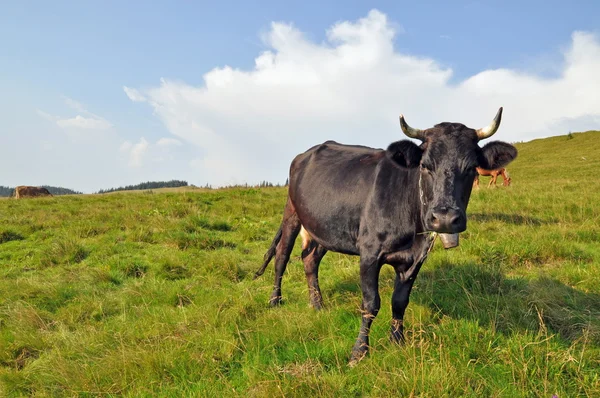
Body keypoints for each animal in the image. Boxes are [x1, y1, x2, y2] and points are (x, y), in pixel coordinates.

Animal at [253, 108, 516, 364]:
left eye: (471, 167)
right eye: (425, 166)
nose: (444, 218)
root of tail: (306, 153)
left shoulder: (415, 259)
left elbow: (399, 302)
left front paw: (398, 341)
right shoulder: (369, 254)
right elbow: (371, 303)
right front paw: (359, 352)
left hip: (323, 227)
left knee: (310, 260)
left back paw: (317, 304)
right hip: (291, 213)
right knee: (282, 256)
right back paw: (275, 300)